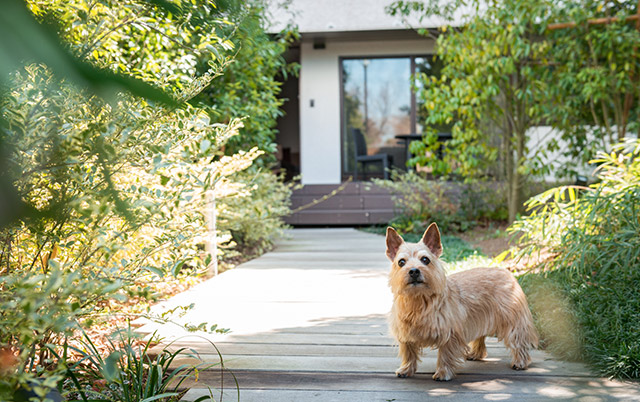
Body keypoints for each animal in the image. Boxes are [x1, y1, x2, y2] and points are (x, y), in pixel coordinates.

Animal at [384, 225, 540, 382]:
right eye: (401, 262)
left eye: (425, 260)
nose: (414, 271)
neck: (418, 300)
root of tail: (505, 271)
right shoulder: (405, 333)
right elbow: (408, 353)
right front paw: (406, 369)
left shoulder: (450, 334)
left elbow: (445, 355)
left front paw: (443, 373)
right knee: (480, 336)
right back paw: (476, 354)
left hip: (513, 321)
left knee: (518, 340)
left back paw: (520, 362)